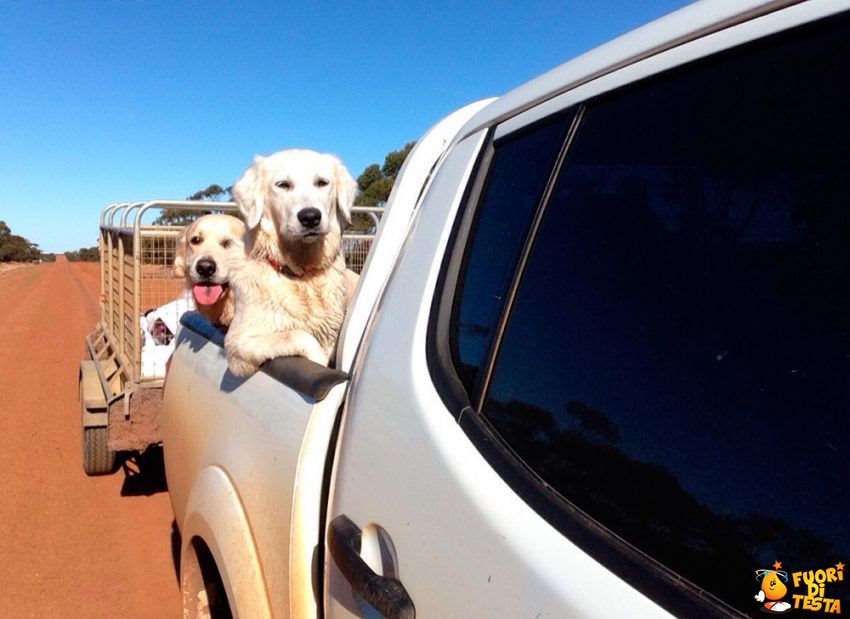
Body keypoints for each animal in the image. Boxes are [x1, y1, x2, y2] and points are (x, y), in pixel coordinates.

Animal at [222, 149, 354, 378]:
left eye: (322, 182)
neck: (302, 274)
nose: (310, 217)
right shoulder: (237, 344)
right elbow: (298, 335)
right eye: (282, 185)